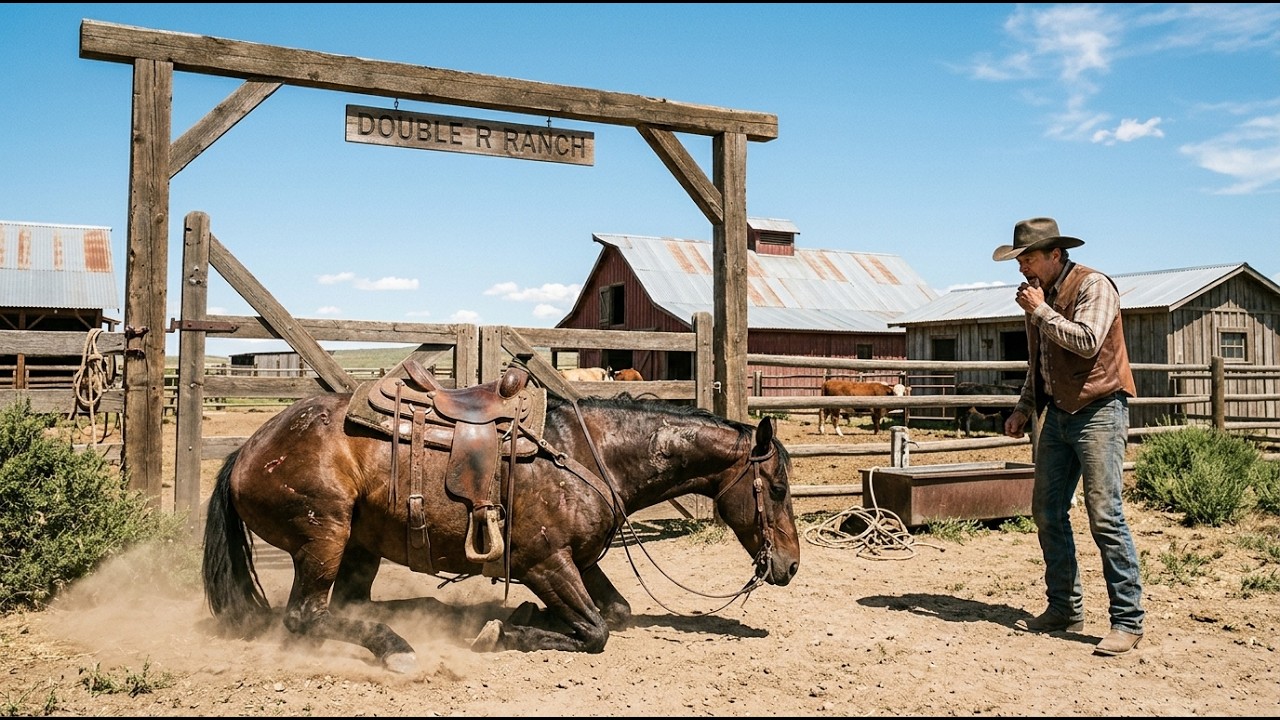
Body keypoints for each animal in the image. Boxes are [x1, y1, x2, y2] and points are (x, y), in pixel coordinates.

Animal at [202, 367, 799, 673]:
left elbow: (618, 611)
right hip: (324, 534)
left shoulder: (580, 561)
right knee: (305, 616)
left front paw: (531, 615)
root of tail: (248, 450)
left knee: (348, 604)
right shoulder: (545, 563)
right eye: (778, 488)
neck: (588, 453)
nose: (791, 566)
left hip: (359, 545)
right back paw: (399, 649)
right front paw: (506, 629)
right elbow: (597, 630)